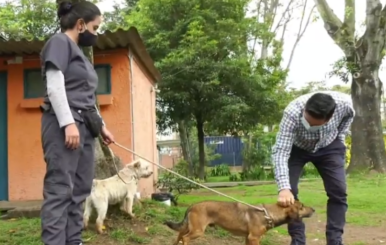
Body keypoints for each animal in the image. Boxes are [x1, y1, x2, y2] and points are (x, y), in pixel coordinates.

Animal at [164, 201, 316, 245]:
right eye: (302, 206)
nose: (314, 209)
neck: (268, 214)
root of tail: (192, 206)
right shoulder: (254, 238)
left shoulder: (247, 238)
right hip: (197, 231)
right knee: (185, 238)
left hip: (189, 227)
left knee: (179, 236)